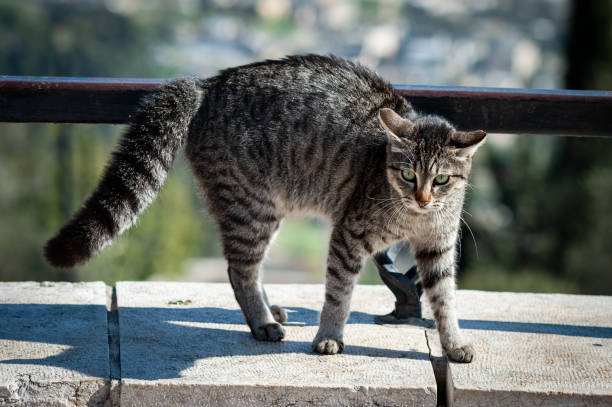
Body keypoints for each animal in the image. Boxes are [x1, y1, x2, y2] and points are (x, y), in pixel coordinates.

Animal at [43, 54, 486, 364]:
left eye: (441, 180)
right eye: (408, 174)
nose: (423, 198)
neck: (415, 216)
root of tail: (208, 83)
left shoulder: (438, 248)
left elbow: (445, 300)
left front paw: (454, 344)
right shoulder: (349, 235)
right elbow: (338, 294)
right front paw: (329, 336)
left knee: (248, 271)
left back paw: (269, 311)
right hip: (253, 208)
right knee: (239, 271)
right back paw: (262, 323)